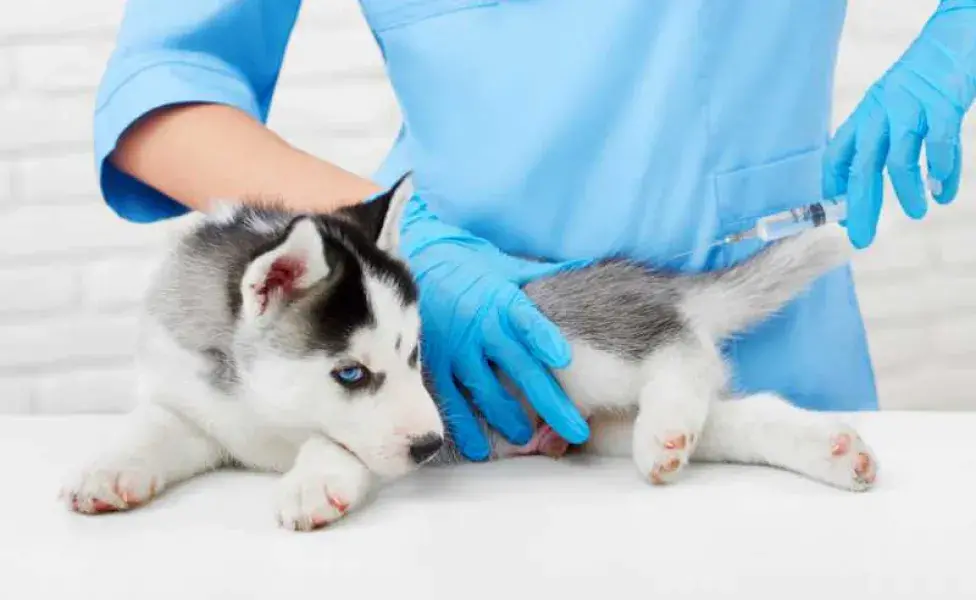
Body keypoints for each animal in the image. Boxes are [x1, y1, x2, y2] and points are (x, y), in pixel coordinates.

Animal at [65, 173, 880, 528]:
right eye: (351, 371)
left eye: (416, 354)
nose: (433, 446)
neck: (256, 407)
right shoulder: (191, 407)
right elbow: (151, 429)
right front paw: (108, 471)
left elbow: (337, 444)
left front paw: (312, 481)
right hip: (597, 424)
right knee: (734, 411)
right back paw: (821, 449)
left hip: (564, 341)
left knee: (680, 348)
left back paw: (670, 417)